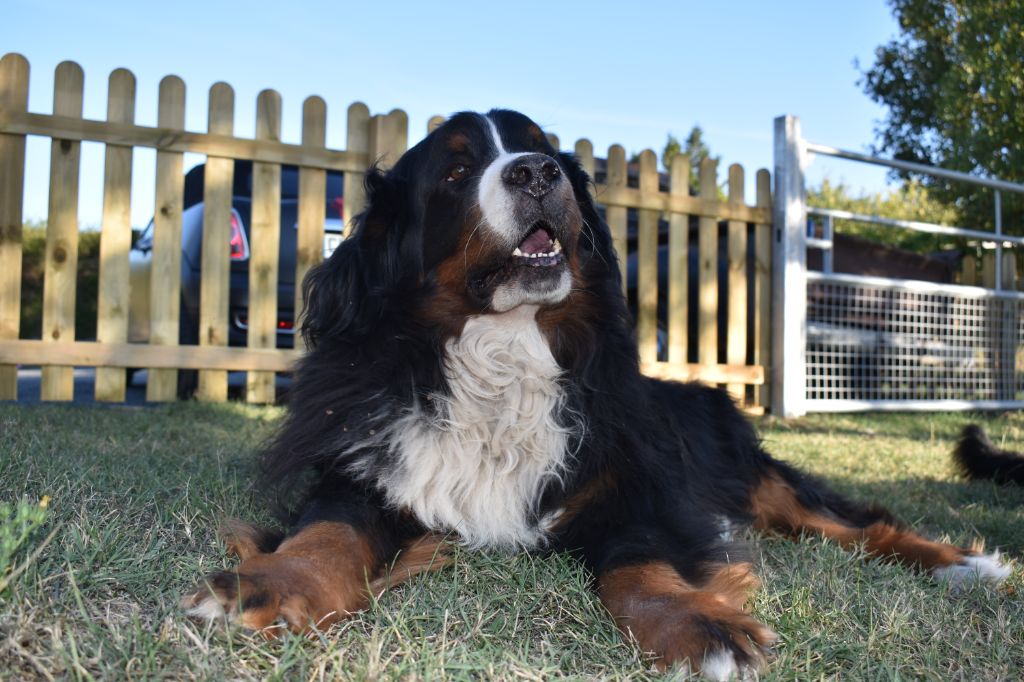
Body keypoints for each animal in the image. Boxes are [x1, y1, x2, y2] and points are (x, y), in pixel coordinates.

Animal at [182, 110, 1007, 675]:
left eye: (540, 147)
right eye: (454, 172)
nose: (535, 173)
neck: (502, 353)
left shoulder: (636, 492)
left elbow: (638, 567)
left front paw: (699, 626)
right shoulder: (368, 468)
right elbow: (328, 532)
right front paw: (263, 585)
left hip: (755, 478)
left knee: (858, 524)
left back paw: (964, 566)